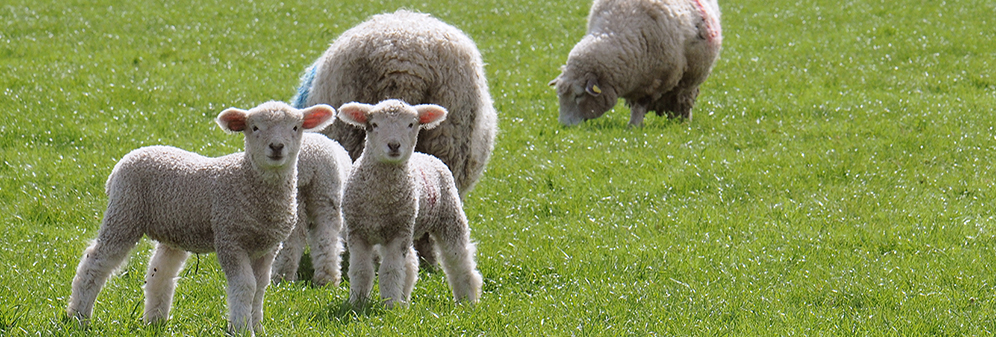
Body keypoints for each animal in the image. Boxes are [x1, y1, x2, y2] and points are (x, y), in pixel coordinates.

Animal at [68, 100, 338, 334]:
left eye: (295, 127)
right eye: (254, 128)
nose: (277, 147)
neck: (248, 182)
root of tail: (124, 161)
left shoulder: (268, 247)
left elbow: (260, 287)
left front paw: (258, 327)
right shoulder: (230, 239)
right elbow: (245, 286)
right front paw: (242, 329)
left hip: (173, 228)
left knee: (159, 272)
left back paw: (155, 321)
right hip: (124, 212)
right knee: (95, 263)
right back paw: (78, 317)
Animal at [270, 131, 352, 286]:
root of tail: (309, 161)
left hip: (300, 198)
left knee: (296, 239)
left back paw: (284, 277)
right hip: (325, 198)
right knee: (326, 239)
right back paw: (327, 280)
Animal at [336, 98, 484, 306]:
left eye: (411, 124)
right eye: (374, 125)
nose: (394, 145)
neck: (378, 199)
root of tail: (425, 155)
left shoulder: (398, 233)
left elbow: (390, 271)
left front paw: (389, 305)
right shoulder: (358, 232)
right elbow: (361, 270)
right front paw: (357, 303)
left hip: (449, 216)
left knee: (459, 260)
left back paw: (467, 301)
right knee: (411, 264)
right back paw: (404, 300)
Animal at [548, 0, 720, 126]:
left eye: (579, 95)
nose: (564, 126)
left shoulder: (653, 82)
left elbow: (640, 105)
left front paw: (633, 126)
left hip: (691, 78)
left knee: (684, 98)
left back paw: (683, 122)